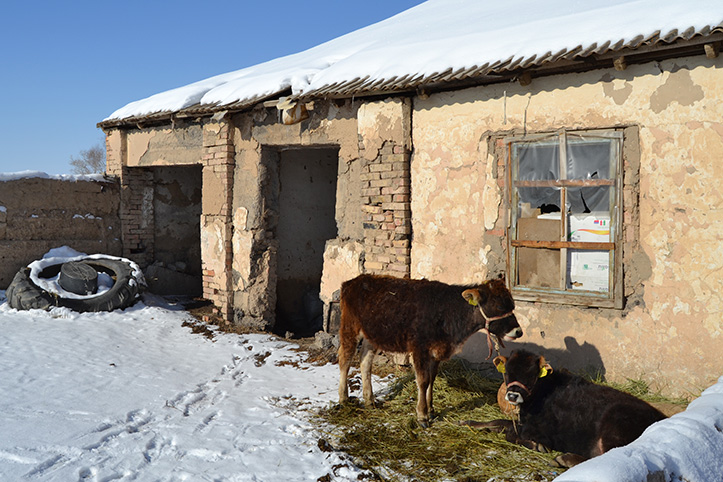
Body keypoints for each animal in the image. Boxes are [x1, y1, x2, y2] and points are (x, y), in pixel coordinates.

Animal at [336, 274, 524, 426]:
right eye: (499, 306)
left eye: (512, 305)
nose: (519, 331)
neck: (449, 312)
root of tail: (354, 281)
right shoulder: (420, 349)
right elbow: (423, 381)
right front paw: (422, 415)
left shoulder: (437, 351)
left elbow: (431, 379)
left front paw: (431, 409)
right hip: (349, 327)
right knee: (345, 360)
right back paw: (343, 398)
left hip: (371, 335)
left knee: (365, 361)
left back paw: (370, 400)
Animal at [464, 350, 668, 466]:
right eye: (507, 372)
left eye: (531, 375)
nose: (512, 395)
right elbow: (500, 421)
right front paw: (469, 422)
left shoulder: (541, 431)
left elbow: (511, 433)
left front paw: (537, 446)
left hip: (614, 427)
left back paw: (565, 459)